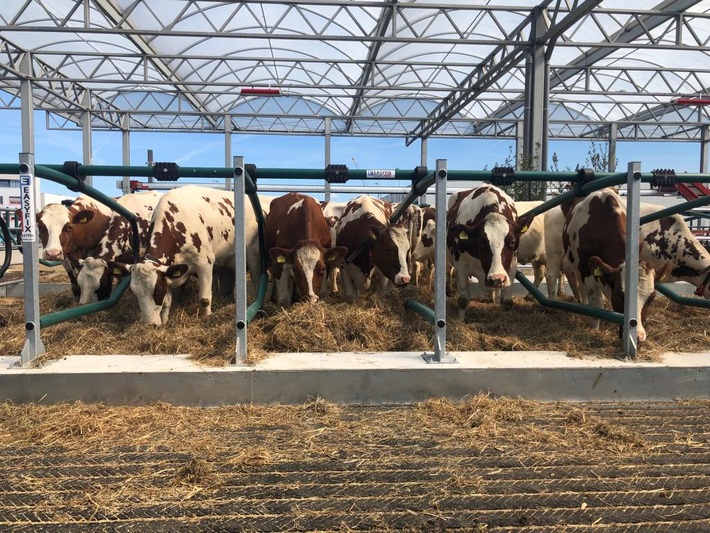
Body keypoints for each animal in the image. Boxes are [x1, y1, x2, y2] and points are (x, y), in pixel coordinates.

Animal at [117, 185, 270, 326]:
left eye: (158, 290)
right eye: (134, 292)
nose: (149, 324)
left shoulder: (205, 263)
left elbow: (204, 299)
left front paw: (207, 318)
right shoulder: (170, 271)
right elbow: (167, 301)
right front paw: (165, 321)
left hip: (253, 256)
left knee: (258, 280)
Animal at [448, 185, 536, 316]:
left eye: (512, 242)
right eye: (481, 242)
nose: (497, 278)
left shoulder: (511, 266)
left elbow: (506, 301)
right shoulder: (461, 266)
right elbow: (463, 300)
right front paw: (461, 320)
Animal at [560, 188, 668, 340]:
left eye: (651, 298)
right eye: (619, 295)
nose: (638, 336)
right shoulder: (586, 269)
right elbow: (596, 304)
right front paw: (595, 329)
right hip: (574, 263)